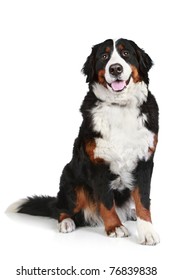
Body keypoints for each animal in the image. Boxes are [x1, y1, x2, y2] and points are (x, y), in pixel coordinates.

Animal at [7, 37, 159, 245]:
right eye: (104, 56)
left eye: (126, 53)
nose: (115, 69)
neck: (119, 107)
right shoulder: (98, 163)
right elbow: (106, 201)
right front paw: (115, 227)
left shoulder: (144, 161)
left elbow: (143, 199)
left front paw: (147, 231)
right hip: (70, 181)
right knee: (61, 209)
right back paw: (66, 222)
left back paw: (130, 213)